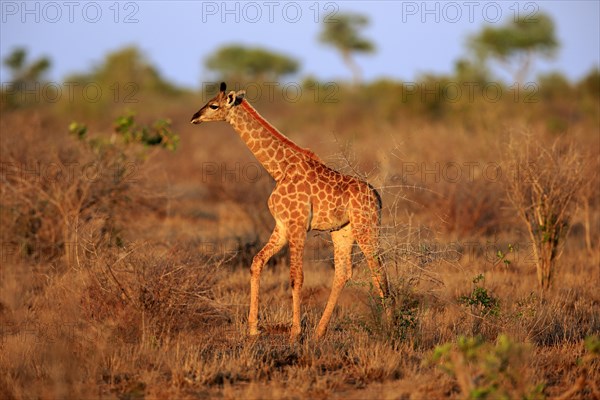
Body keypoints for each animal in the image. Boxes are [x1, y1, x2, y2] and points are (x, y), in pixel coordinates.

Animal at [191, 82, 390, 340]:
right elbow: (256, 262)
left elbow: (296, 277)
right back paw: (319, 332)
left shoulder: (298, 225)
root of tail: (377, 196)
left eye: (214, 105)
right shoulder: (282, 226)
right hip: (342, 231)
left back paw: (392, 328)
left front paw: (295, 332)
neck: (279, 168)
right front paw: (253, 328)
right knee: (343, 273)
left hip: (366, 227)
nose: (194, 117)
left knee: (379, 272)